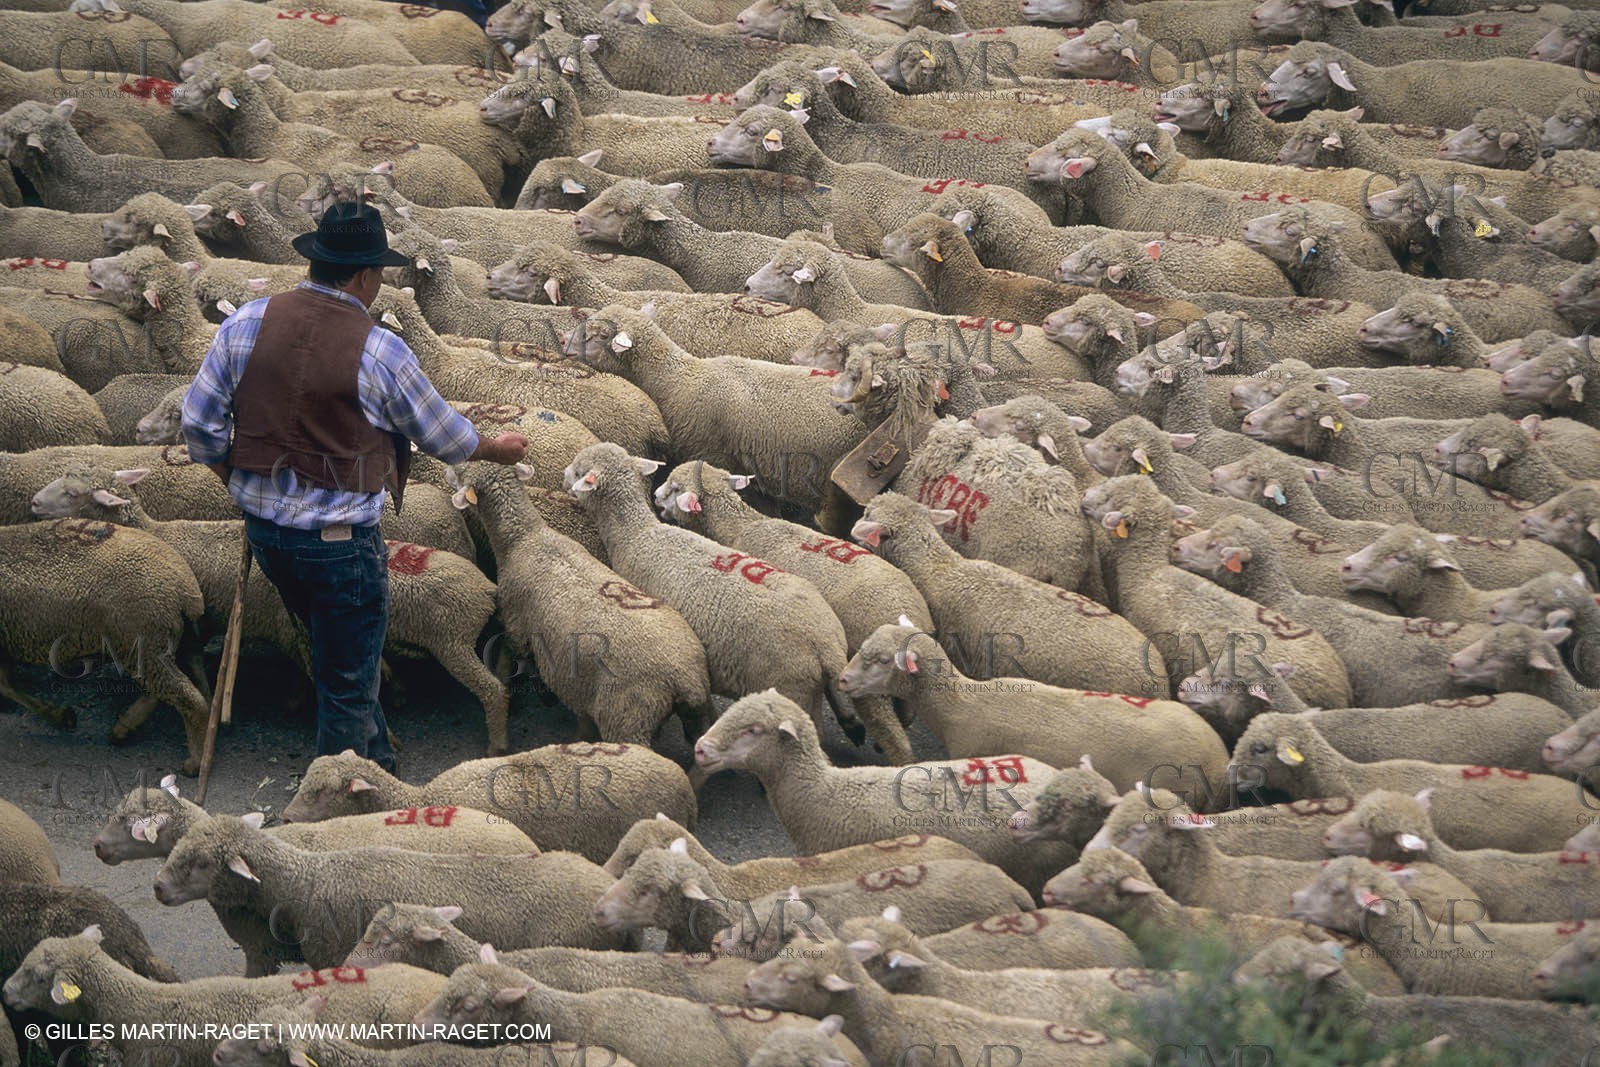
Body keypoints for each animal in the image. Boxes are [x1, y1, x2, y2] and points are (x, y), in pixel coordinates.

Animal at [446, 460, 713, 748]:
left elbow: (507, 657)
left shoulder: (515, 624)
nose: (446, 469)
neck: (525, 537)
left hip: (628, 719)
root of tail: (682, 678)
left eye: (460, 470)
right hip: (698, 709)